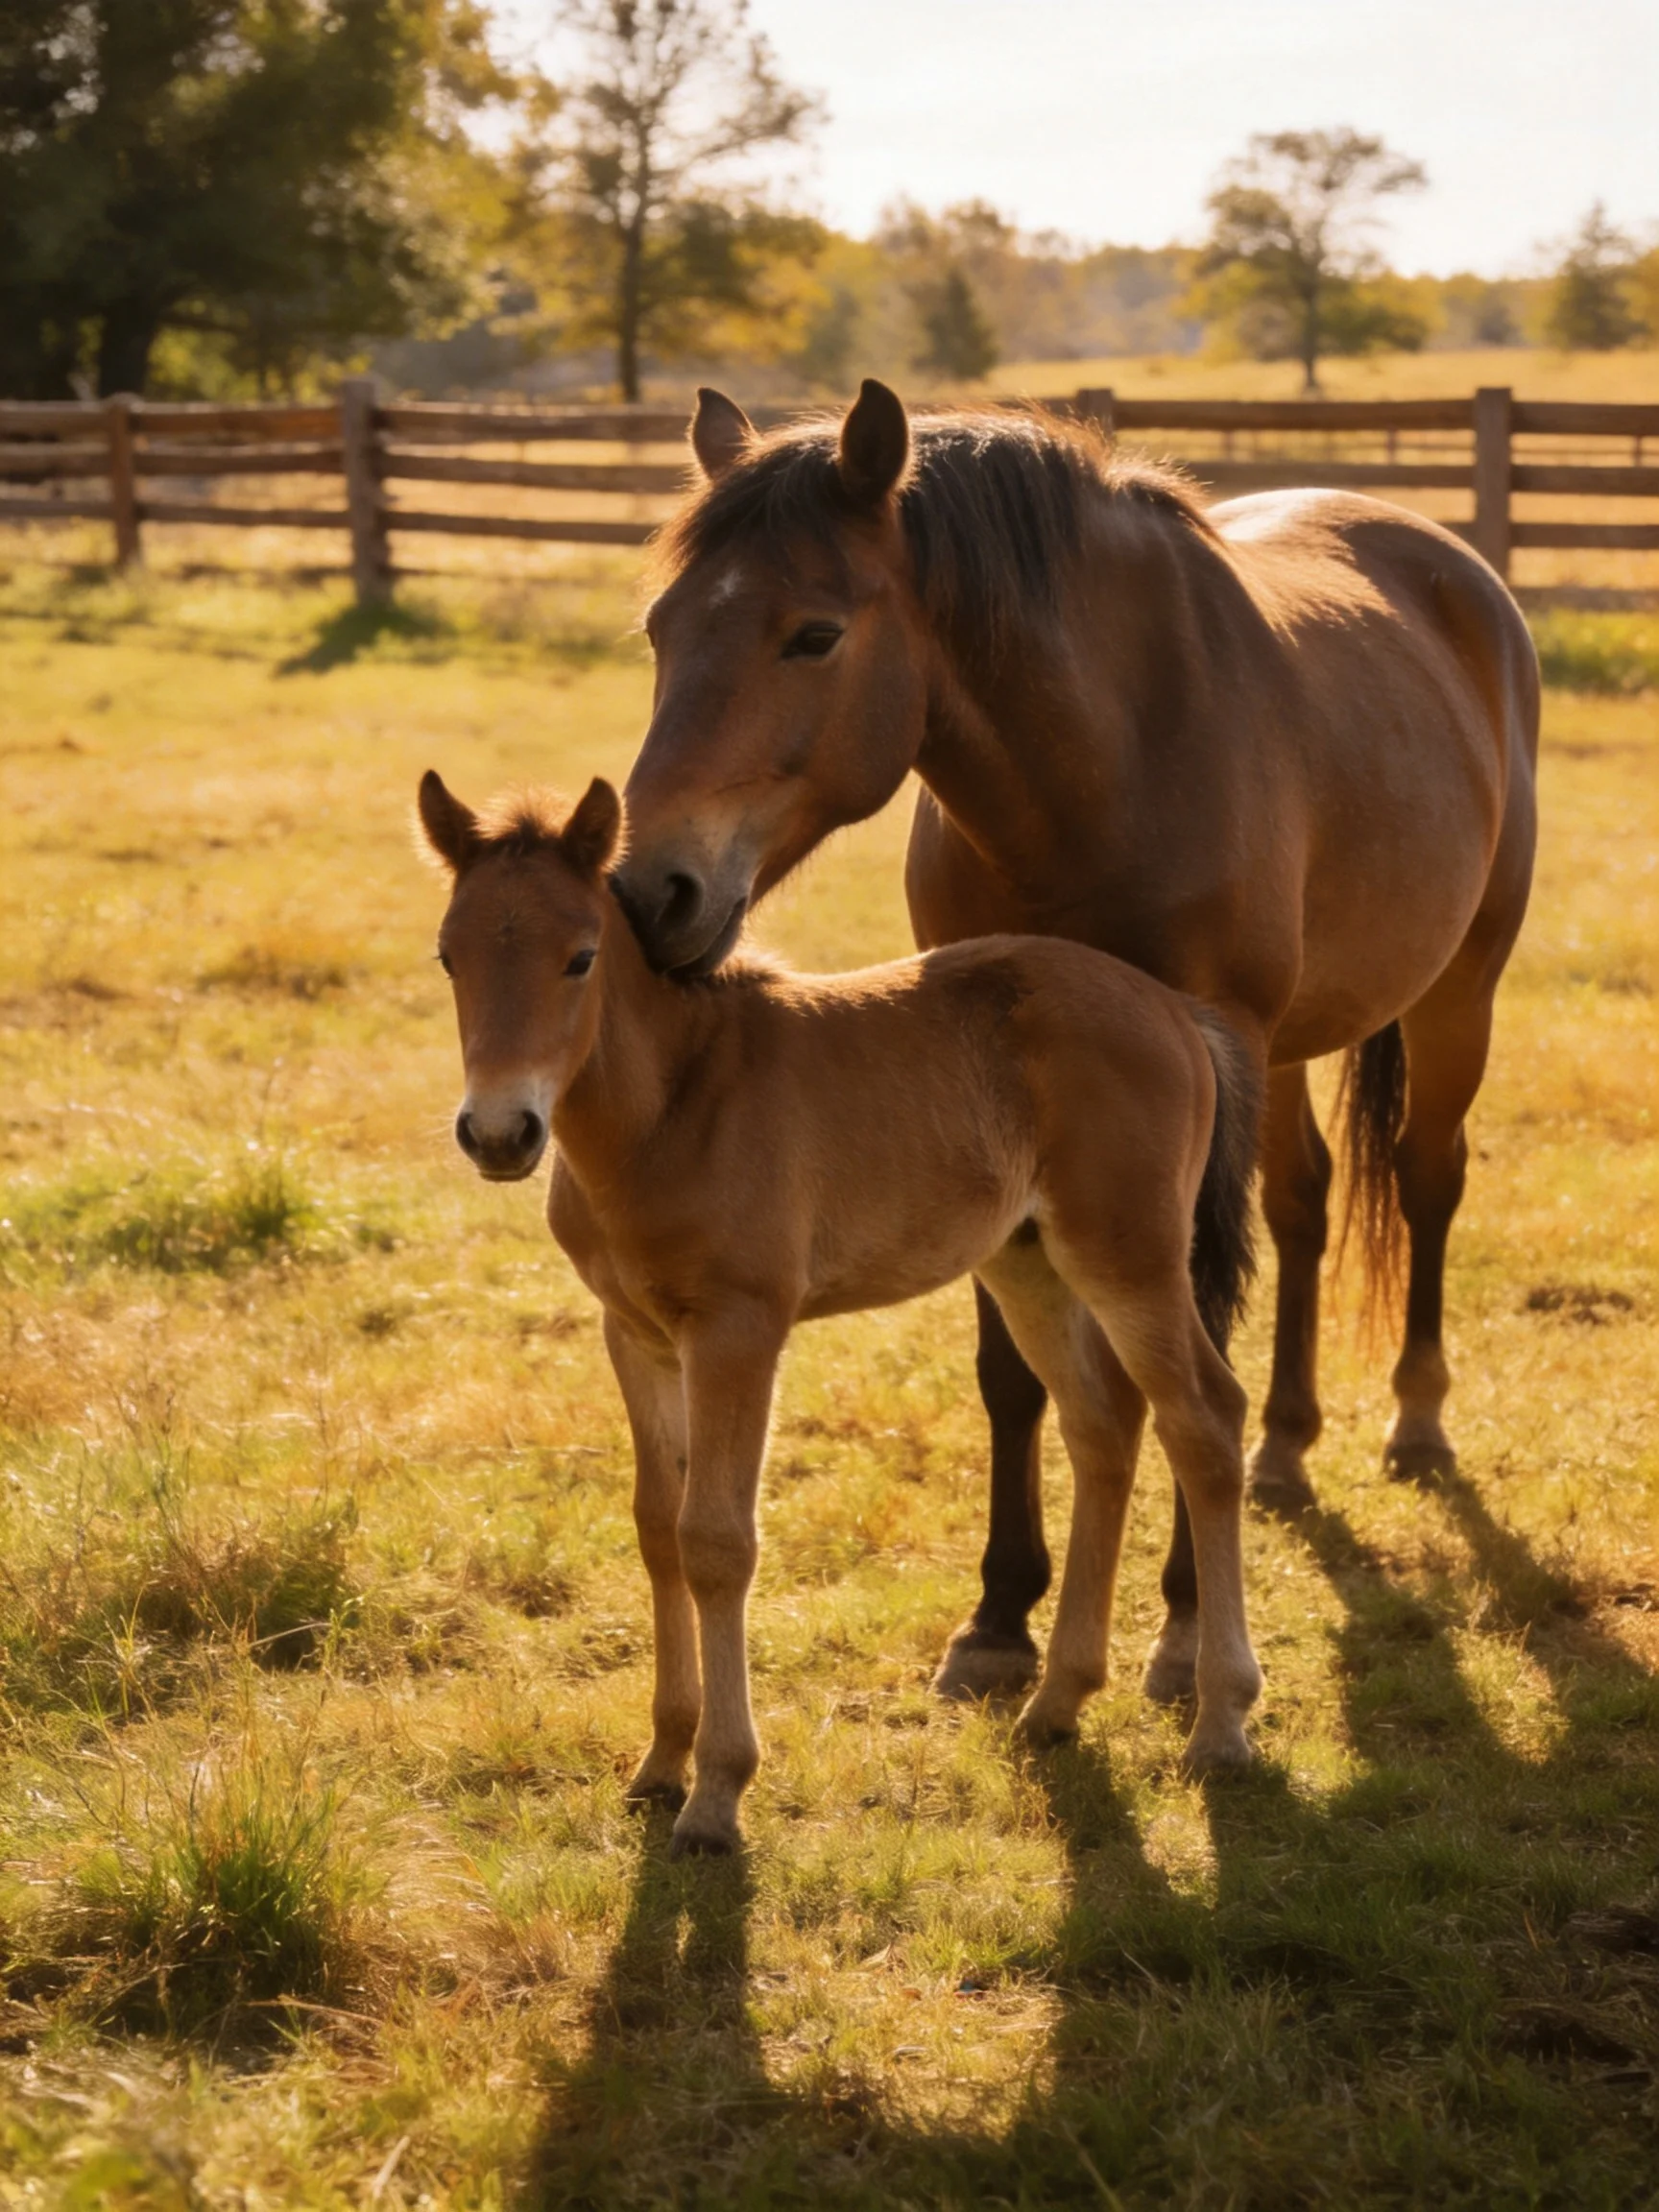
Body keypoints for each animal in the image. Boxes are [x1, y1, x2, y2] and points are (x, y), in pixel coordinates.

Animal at [419, 769, 1264, 1857]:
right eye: (449, 955)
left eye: (580, 956)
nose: (499, 1133)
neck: (671, 1107)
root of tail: (1177, 1010)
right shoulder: (635, 1334)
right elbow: (656, 1526)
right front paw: (659, 1762)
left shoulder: (738, 1329)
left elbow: (716, 1539)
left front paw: (716, 1794)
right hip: (1029, 1263)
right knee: (1102, 1424)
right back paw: (1055, 1705)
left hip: (1131, 1257)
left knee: (1206, 1419)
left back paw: (1220, 1723)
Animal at [609, 378, 1540, 1709]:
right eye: (661, 630)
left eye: (814, 635)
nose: (651, 894)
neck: (1108, 760)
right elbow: (1013, 1370)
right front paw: (1000, 1618)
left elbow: (1194, 1341)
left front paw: (1184, 1629)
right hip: (1280, 1058)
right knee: (1306, 1204)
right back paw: (1287, 1448)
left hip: (1455, 993)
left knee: (1425, 1180)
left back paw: (1416, 1422)